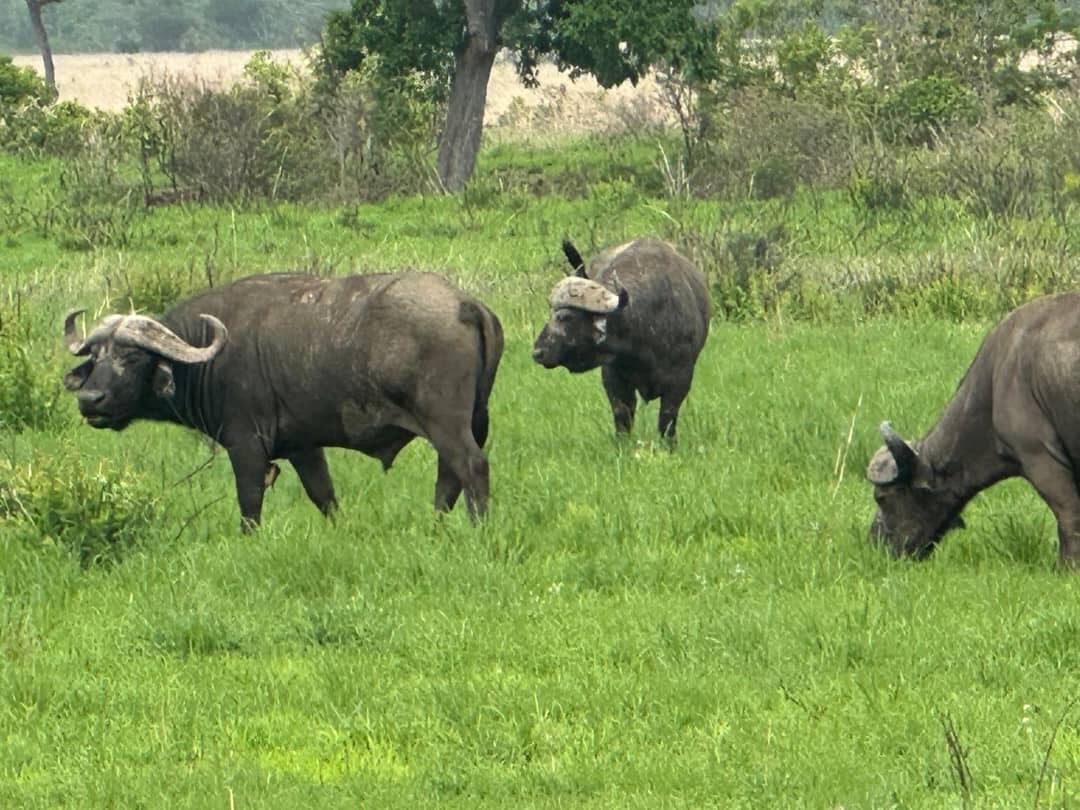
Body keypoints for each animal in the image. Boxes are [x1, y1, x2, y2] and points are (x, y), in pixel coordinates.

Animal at [64, 272, 503, 527]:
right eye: (95, 357)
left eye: (132, 357)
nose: (91, 399)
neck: (208, 355)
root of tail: (465, 304)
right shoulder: (303, 447)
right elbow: (324, 496)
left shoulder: (246, 446)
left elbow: (250, 504)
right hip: (473, 420)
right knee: (449, 476)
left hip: (445, 422)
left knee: (470, 466)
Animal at [531, 237, 710, 442]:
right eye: (551, 314)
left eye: (565, 317)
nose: (538, 352)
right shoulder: (613, 377)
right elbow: (622, 415)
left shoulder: (681, 379)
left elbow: (667, 418)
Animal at [867, 292, 1080, 565]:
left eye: (881, 497)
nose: (874, 544)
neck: (995, 383)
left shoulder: (1040, 458)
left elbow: (1068, 515)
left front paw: (1067, 566)